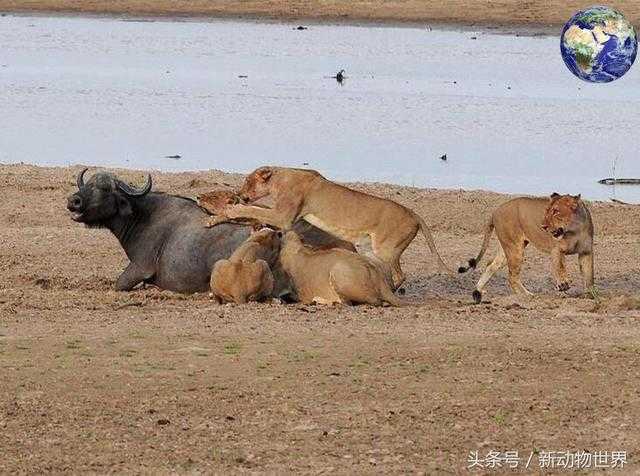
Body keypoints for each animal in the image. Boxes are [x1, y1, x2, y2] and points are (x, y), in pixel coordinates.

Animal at [66, 167, 344, 294]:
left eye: (104, 188)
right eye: (86, 184)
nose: (73, 201)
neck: (142, 215)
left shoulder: (140, 267)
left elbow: (118, 283)